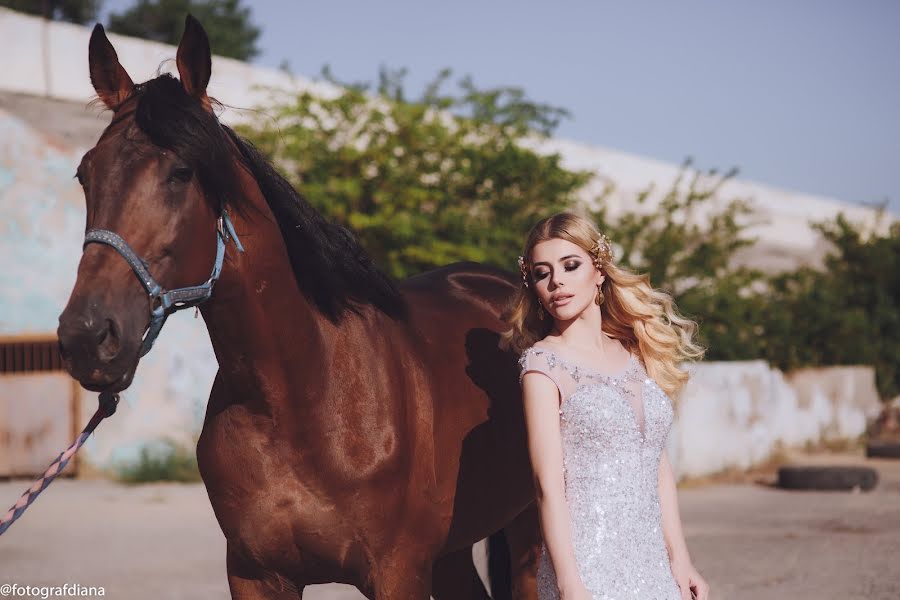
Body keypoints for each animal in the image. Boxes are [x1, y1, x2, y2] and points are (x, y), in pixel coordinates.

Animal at [61, 16, 548, 596]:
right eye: (86, 173)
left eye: (181, 173)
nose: (87, 336)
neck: (304, 398)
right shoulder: (254, 574)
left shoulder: (398, 572)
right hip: (455, 548)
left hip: (528, 532)